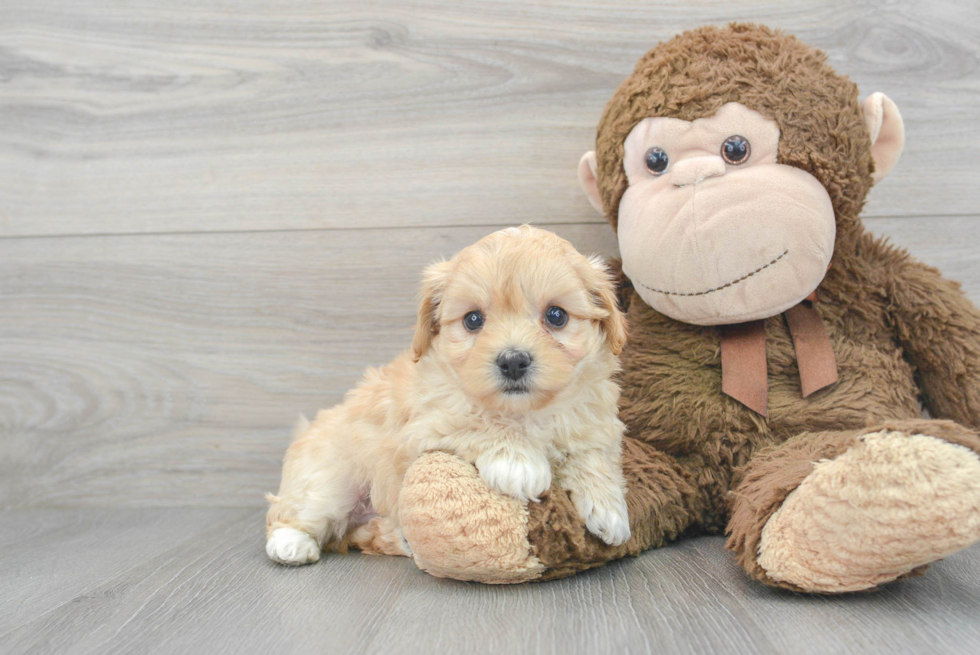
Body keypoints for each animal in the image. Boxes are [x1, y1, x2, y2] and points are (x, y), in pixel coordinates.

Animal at [264, 224, 632, 564]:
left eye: (557, 315)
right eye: (473, 320)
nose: (513, 361)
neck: (524, 411)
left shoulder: (594, 421)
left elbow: (592, 456)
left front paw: (609, 507)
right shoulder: (426, 425)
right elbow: (477, 422)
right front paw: (518, 462)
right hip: (330, 477)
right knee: (296, 511)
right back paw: (291, 543)